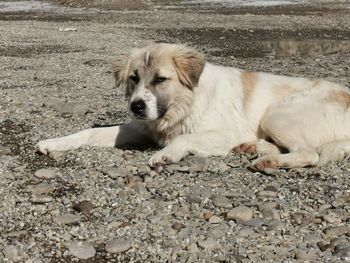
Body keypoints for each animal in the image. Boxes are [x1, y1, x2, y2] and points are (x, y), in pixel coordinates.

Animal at [36, 42, 350, 173]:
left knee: (310, 153)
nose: (136, 106)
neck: (183, 105)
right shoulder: (138, 128)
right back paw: (254, 148)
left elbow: (185, 137)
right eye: (134, 78)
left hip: (278, 114)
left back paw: (269, 161)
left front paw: (166, 154)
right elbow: (88, 132)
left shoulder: (227, 131)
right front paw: (54, 142)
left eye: (160, 79)